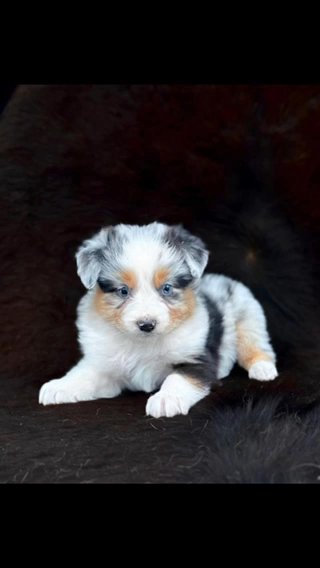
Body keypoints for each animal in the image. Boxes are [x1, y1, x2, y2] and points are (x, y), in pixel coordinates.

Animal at [38, 222, 278, 418]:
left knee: (256, 345)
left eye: (167, 288)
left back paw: (263, 369)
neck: (142, 343)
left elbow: (177, 378)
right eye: (123, 291)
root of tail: (225, 279)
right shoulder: (104, 365)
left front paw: (165, 400)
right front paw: (59, 387)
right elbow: (84, 373)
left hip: (249, 317)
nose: (146, 325)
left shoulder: (195, 358)